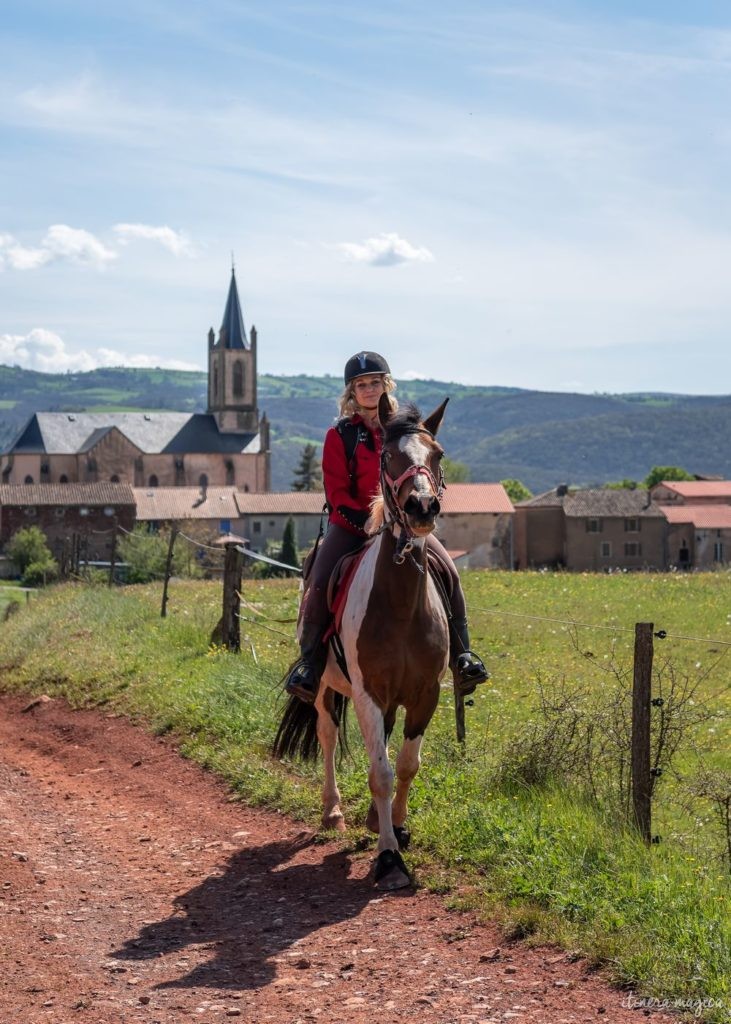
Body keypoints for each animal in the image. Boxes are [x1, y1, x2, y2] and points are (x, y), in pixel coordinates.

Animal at [270, 391, 446, 888]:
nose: (422, 508)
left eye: (437, 455)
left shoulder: (425, 695)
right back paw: (333, 812)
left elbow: (405, 764)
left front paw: (396, 827)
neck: (401, 604)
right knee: (328, 736)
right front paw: (388, 858)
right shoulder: (367, 694)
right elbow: (380, 772)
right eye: (388, 456)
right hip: (326, 689)